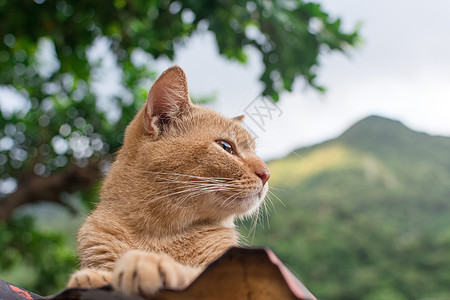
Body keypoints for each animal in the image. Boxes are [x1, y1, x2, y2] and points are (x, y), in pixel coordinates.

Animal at [67, 66, 270, 298]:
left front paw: (151, 263)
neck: (158, 235)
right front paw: (94, 276)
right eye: (226, 147)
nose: (266, 173)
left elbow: (195, 273)